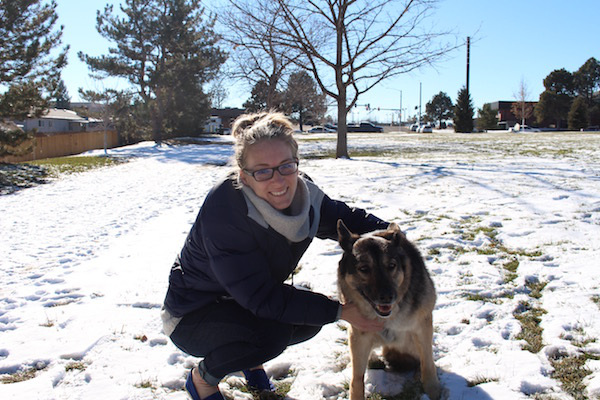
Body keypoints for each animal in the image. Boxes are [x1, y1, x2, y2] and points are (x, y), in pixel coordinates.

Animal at [338, 220, 440, 400]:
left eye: (391, 266)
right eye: (364, 269)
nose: (387, 297)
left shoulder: (422, 327)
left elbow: (428, 363)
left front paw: (433, 390)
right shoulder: (358, 335)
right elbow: (356, 377)